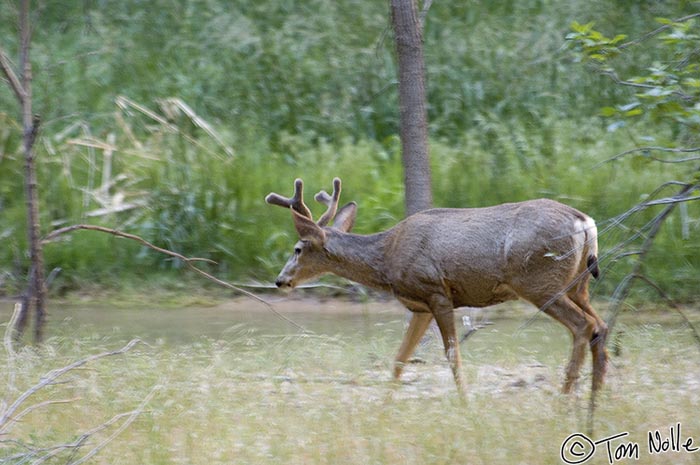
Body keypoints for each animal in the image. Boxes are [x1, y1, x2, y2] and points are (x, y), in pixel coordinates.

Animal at [266, 177, 608, 392]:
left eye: (297, 249)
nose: (281, 280)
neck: (387, 257)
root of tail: (585, 223)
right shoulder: (420, 307)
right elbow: (399, 359)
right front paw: (383, 409)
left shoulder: (437, 292)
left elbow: (453, 356)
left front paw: (465, 403)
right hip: (578, 286)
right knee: (600, 326)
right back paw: (595, 401)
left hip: (540, 284)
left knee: (582, 325)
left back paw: (565, 401)